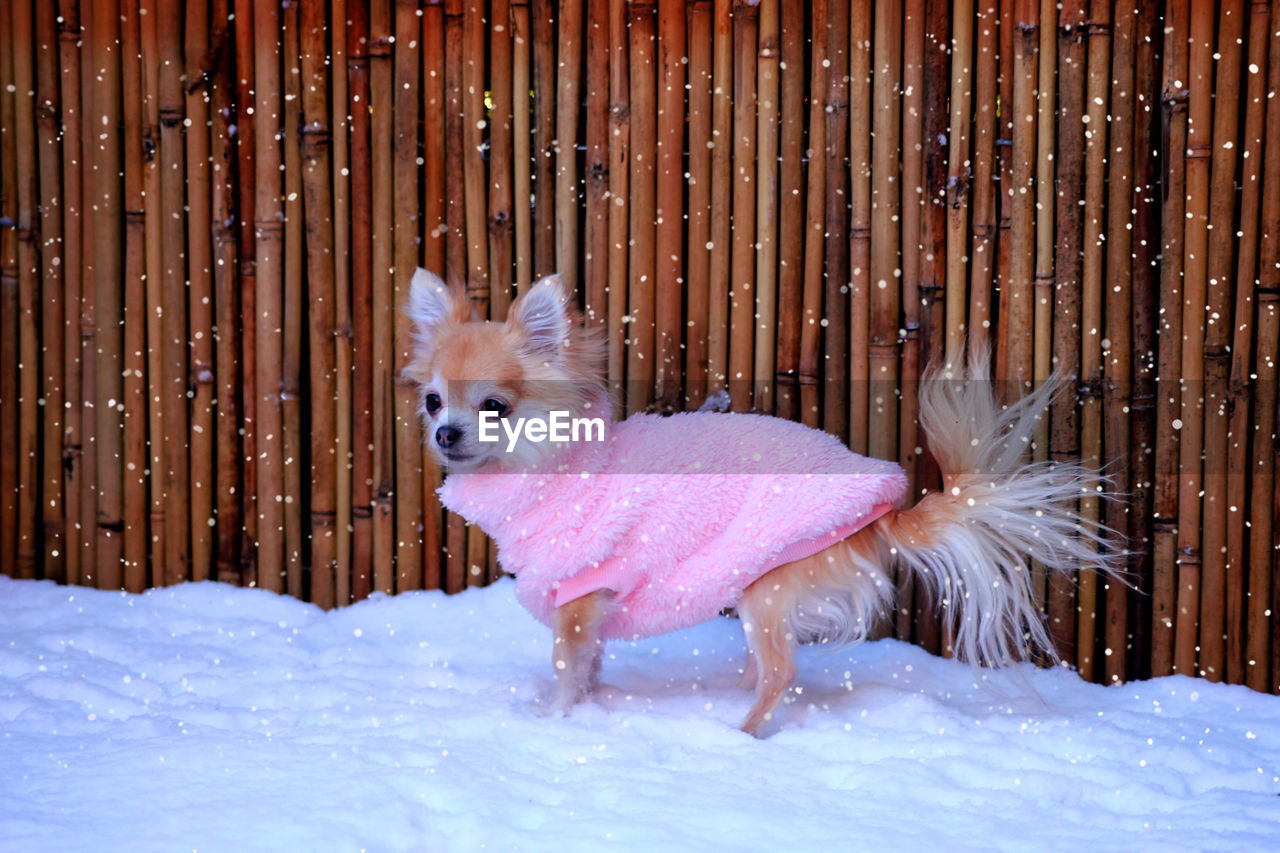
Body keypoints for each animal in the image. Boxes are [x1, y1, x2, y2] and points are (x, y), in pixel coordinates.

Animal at [404, 268, 1116, 732]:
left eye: (494, 407)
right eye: (434, 401)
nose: (444, 434)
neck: (562, 465)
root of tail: (886, 506)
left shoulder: (577, 599)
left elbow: (565, 665)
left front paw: (553, 720)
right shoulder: (587, 610)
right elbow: (590, 666)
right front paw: (589, 705)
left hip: (768, 588)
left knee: (781, 672)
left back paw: (742, 732)